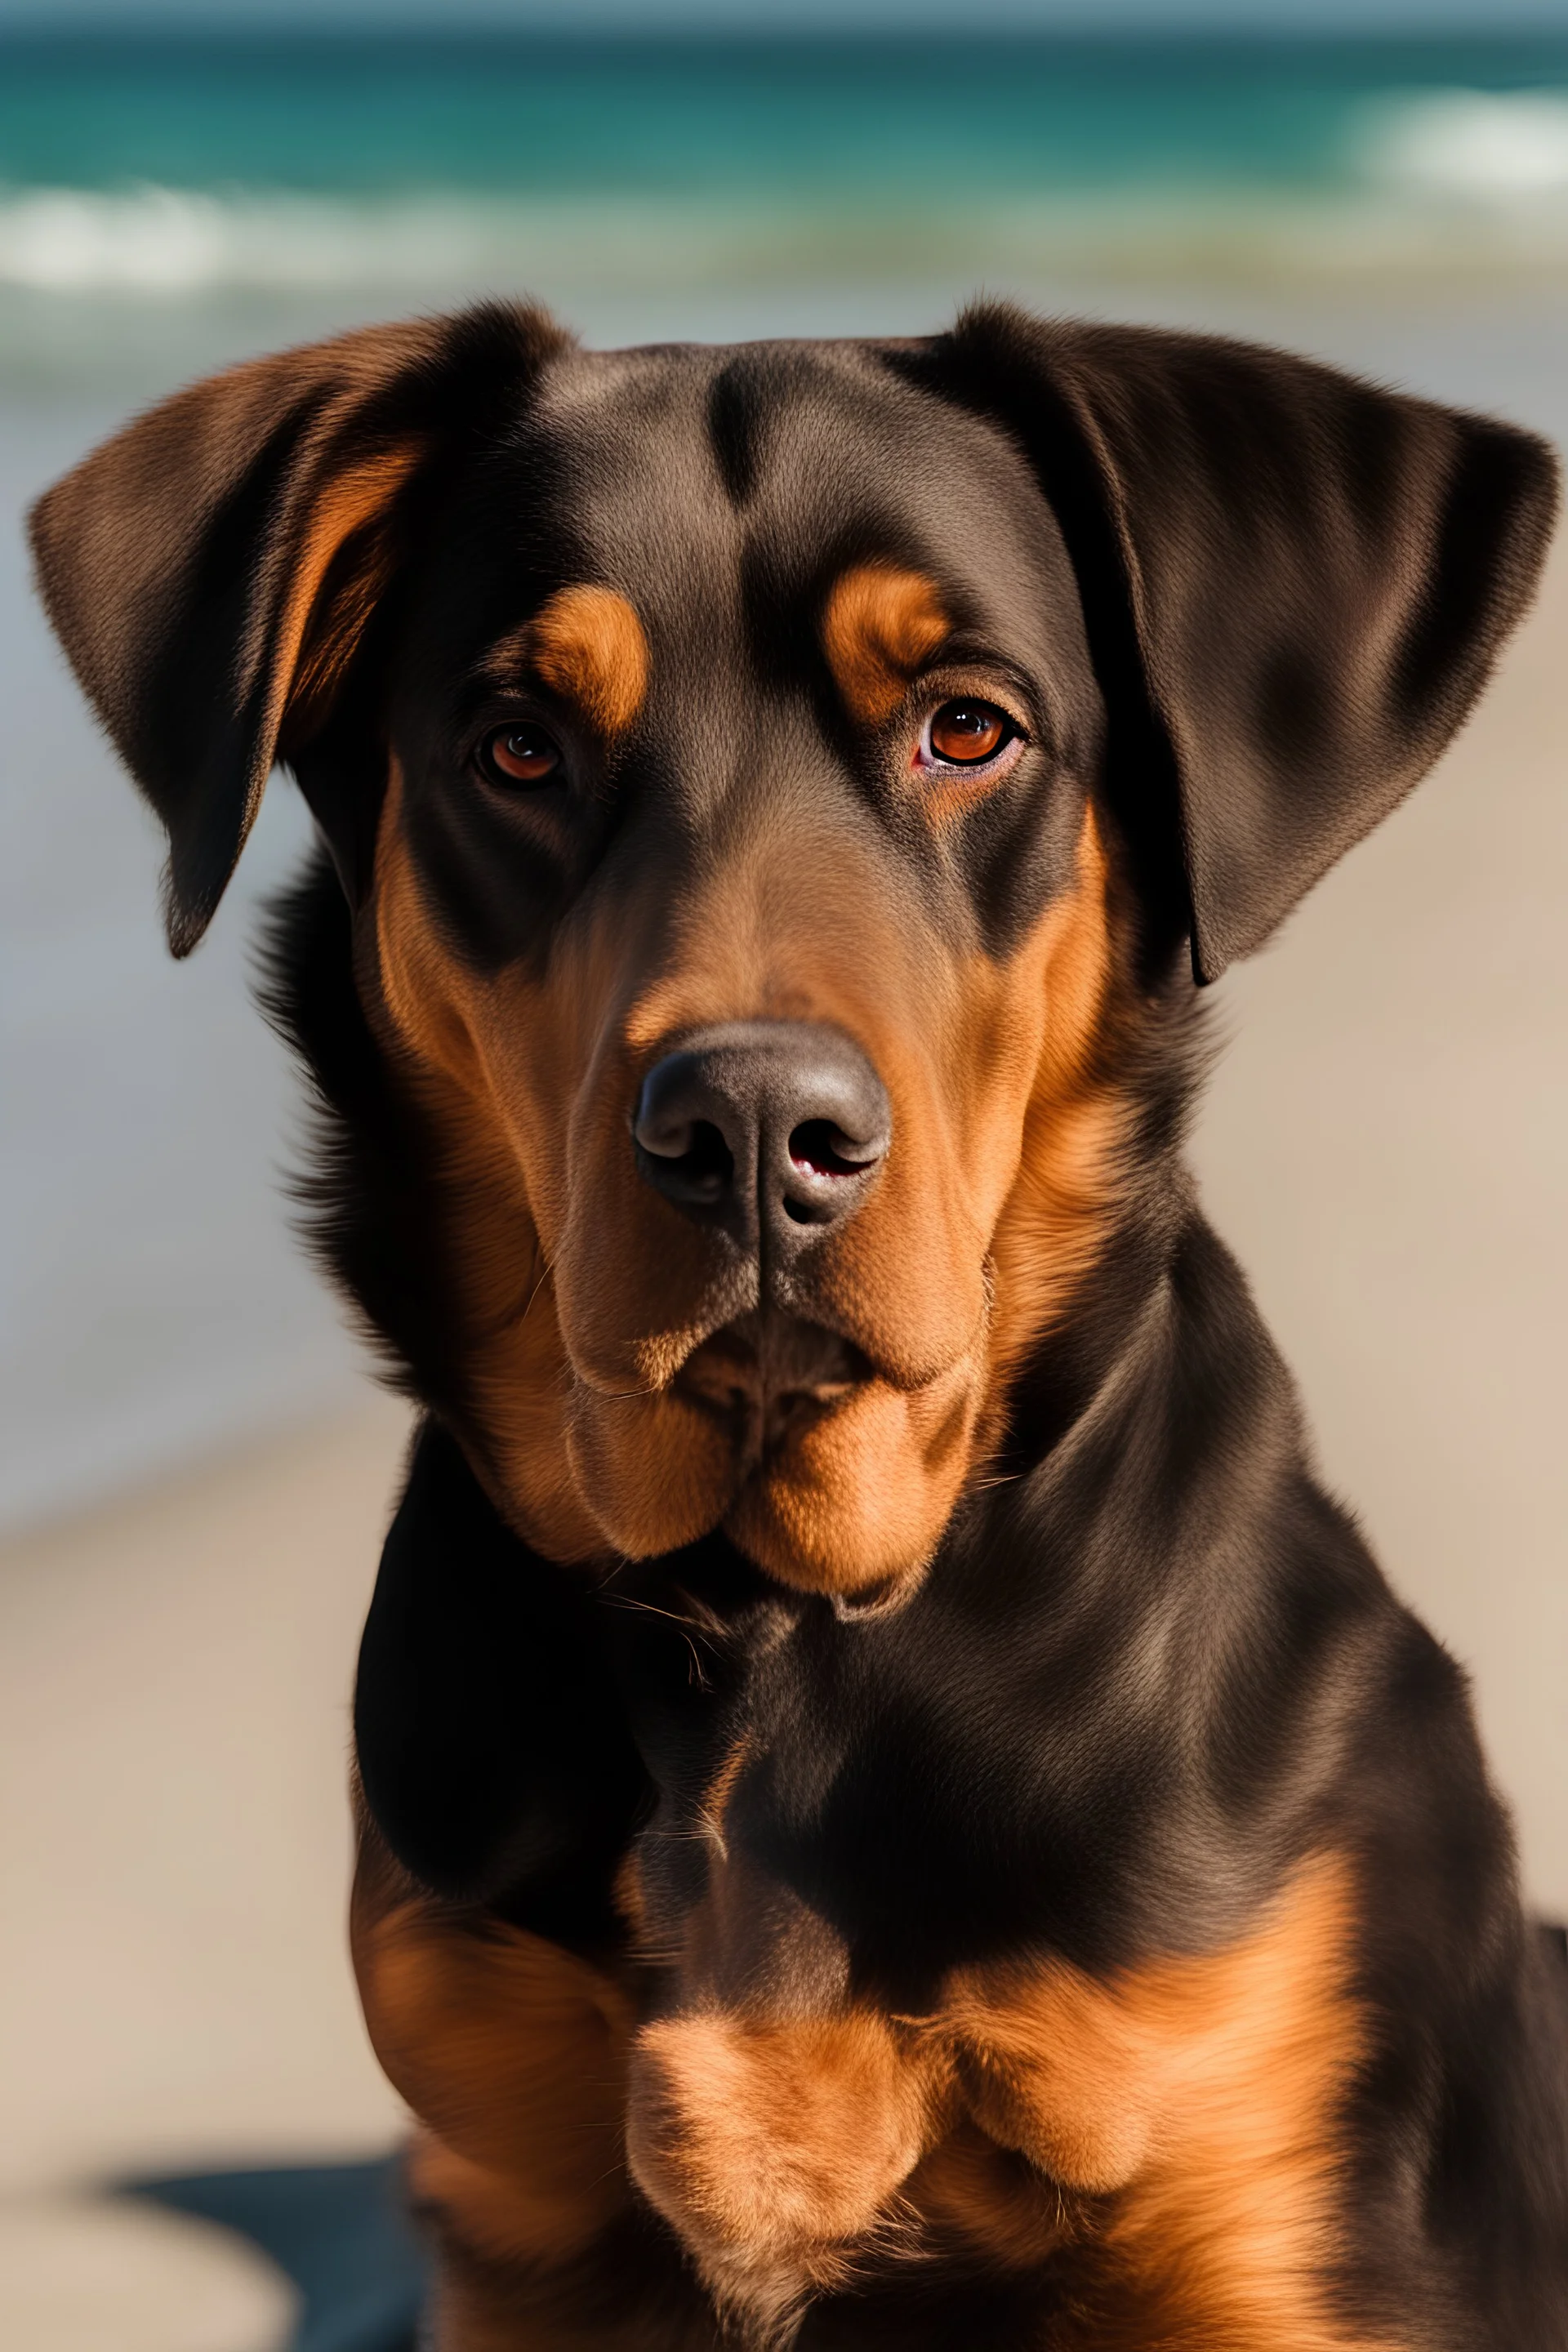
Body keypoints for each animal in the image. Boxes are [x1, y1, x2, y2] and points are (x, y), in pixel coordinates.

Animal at [30, 298, 1568, 2352]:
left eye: (966, 727)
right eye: (517, 747)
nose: (754, 1134)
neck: (753, 1646)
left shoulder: (1271, 2212)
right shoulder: (516, 2199)